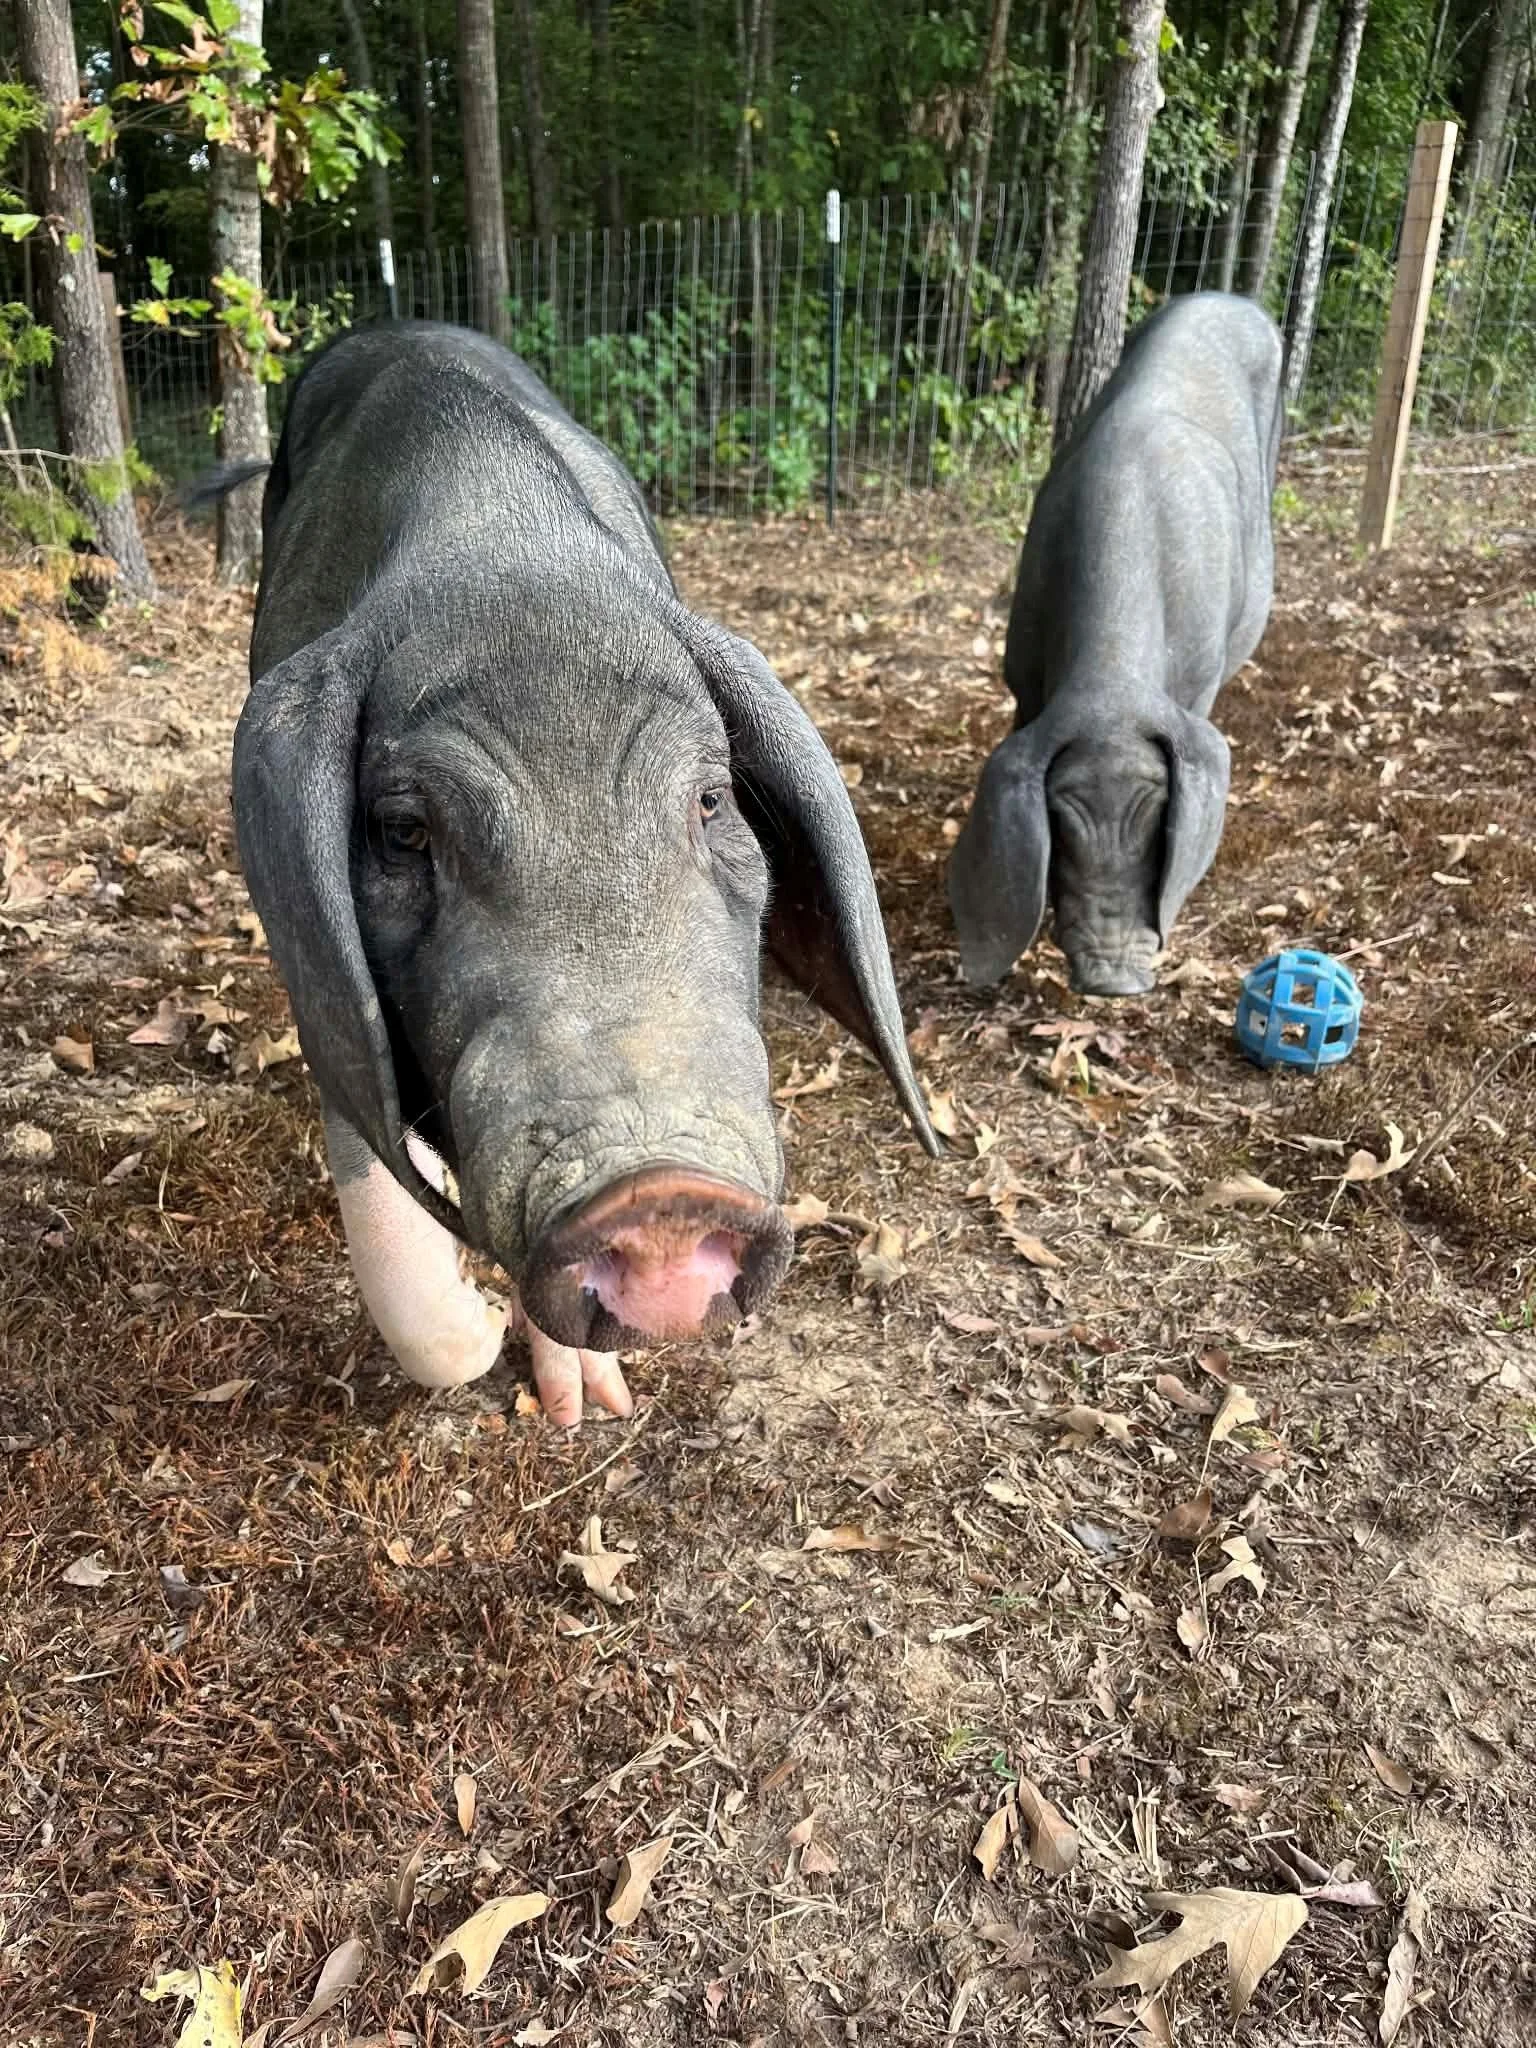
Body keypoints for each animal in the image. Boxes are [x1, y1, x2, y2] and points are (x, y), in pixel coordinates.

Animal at [226, 322, 936, 1427]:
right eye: (403, 830)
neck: (501, 548)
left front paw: (587, 1411)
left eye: (710, 799)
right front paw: (485, 1330)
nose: (656, 1195)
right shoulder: (321, 987)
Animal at [949, 291, 1283, 997]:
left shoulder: (1198, 688)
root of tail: (1230, 298)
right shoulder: (1023, 677)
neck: (1111, 678)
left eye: (1159, 827)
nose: (1112, 980)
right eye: (1064, 831)